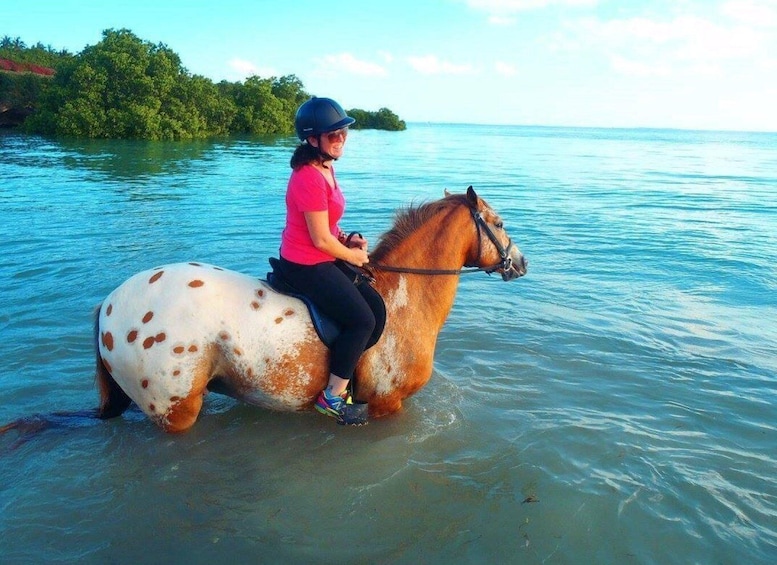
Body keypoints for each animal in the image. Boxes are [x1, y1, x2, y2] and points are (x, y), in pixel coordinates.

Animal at [3, 185, 524, 436]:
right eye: (498, 223)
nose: (521, 262)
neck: (403, 294)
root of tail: (110, 304)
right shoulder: (387, 405)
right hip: (174, 411)